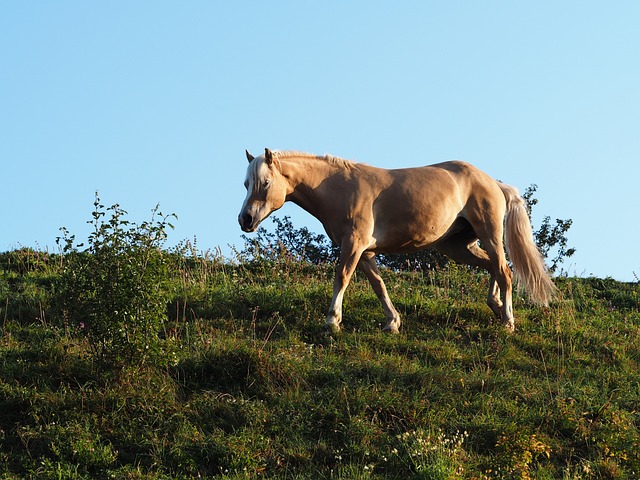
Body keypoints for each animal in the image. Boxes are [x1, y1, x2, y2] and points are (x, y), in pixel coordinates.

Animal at [238, 148, 552, 332]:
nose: (246, 220)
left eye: (265, 182)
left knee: (504, 271)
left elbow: (341, 277)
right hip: (458, 246)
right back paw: (496, 306)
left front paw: (332, 321)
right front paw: (392, 322)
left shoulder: (354, 244)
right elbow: (378, 284)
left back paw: (508, 321)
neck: (339, 188)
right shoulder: (364, 251)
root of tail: (494, 183)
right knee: (494, 268)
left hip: (488, 235)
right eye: (246, 183)